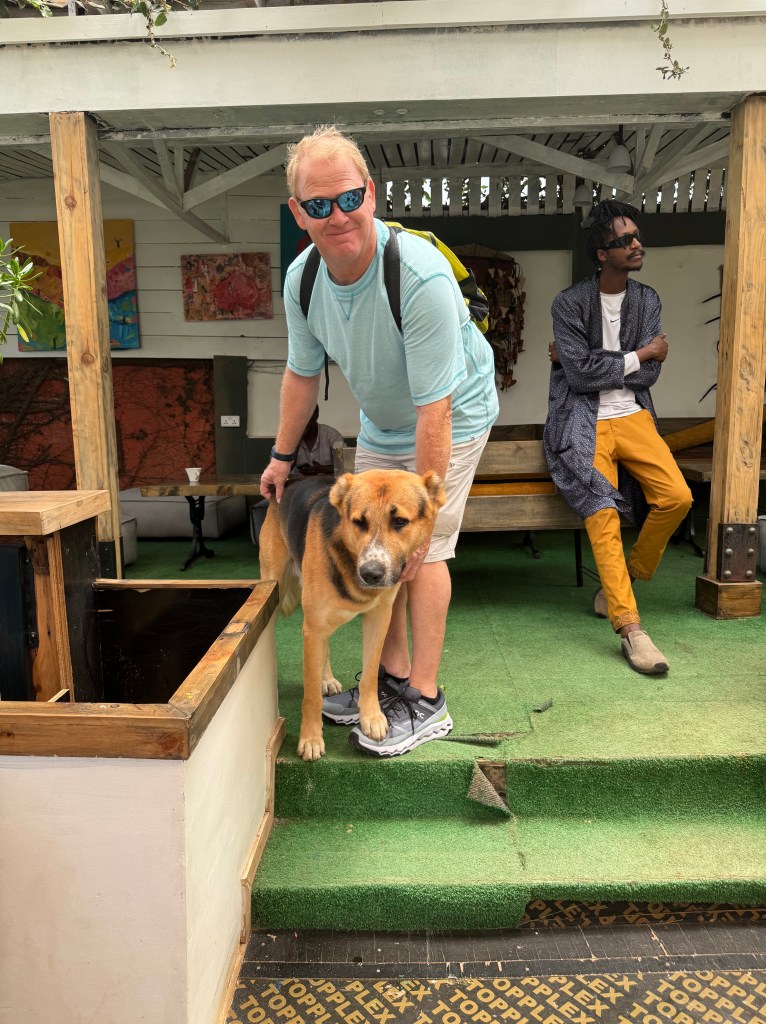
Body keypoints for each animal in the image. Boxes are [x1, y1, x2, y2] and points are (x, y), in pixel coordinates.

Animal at [259, 469, 446, 761]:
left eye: (400, 521)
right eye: (359, 522)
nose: (370, 573)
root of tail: (289, 482)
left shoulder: (379, 619)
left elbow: (369, 675)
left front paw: (372, 717)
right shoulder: (314, 626)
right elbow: (311, 696)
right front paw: (310, 739)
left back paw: (327, 680)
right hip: (275, 590)